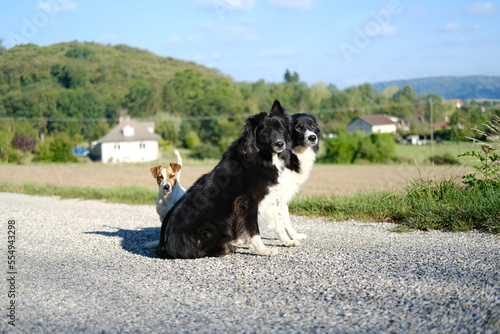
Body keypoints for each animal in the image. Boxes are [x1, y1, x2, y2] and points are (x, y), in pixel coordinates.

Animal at [158, 99, 292, 258]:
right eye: (265, 133)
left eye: (282, 130)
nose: (280, 144)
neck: (259, 156)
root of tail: (168, 247)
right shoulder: (248, 202)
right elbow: (254, 229)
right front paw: (263, 250)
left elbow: (277, 221)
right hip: (214, 225)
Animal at [258, 111, 320, 245]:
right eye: (298, 127)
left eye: (312, 126)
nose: (313, 137)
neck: (293, 152)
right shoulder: (275, 192)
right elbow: (280, 219)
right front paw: (287, 240)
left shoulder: (285, 191)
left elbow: (285, 217)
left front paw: (294, 236)